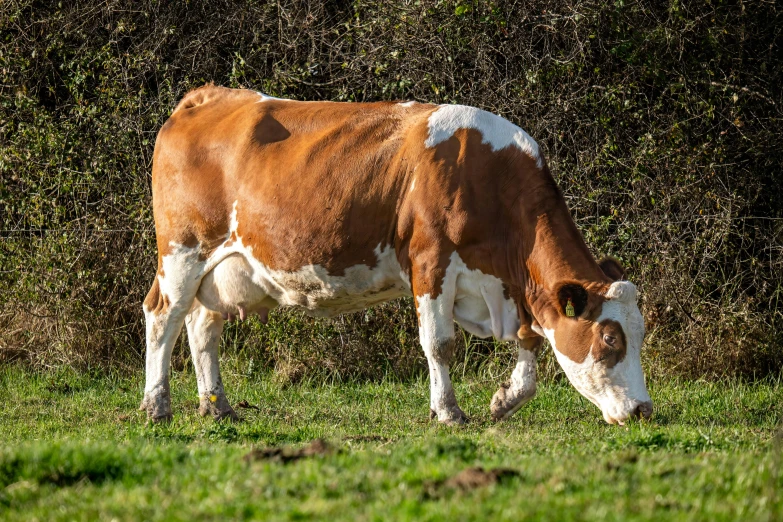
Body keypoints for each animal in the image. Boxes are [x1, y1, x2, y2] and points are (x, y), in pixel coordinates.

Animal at [141, 85, 656, 424]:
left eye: (640, 334)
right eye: (610, 339)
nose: (643, 409)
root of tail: (208, 96)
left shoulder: (513, 288)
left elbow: (530, 341)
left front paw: (505, 399)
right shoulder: (430, 261)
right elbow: (440, 342)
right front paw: (448, 412)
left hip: (223, 268)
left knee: (202, 326)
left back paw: (218, 408)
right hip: (183, 251)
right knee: (163, 316)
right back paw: (156, 405)